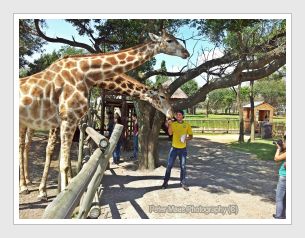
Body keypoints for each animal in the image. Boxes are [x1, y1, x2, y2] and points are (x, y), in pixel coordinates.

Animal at [19, 29, 189, 196]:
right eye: (169, 40)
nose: (186, 53)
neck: (88, 75)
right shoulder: (65, 118)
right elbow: (56, 156)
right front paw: (46, 191)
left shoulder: (70, 121)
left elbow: (63, 157)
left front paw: (65, 185)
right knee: (23, 145)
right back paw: (25, 186)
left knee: (26, 145)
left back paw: (27, 182)